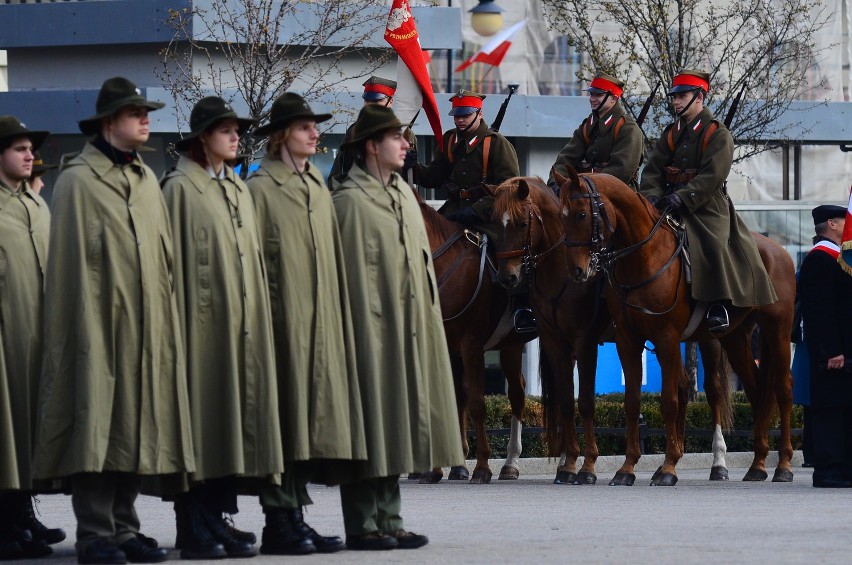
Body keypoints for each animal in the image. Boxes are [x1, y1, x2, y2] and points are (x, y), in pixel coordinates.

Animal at [414, 193, 532, 480]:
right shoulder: (446, 347)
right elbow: (451, 400)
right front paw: (440, 468)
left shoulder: (471, 345)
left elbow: (478, 402)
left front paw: (482, 466)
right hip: (511, 345)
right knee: (518, 391)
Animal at [556, 166, 796, 484]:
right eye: (561, 216)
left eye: (582, 214)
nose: (576, 270)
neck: (643, 257)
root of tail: (779, 251)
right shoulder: (628, 340)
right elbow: (632, 402)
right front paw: (627, 467)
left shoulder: (666, 337)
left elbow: (669, 400)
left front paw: (668, 467)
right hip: (735, 338)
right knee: (757, 390)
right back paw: (757, 464)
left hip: (776, 331)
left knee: (782, 389)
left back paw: (783, 465)